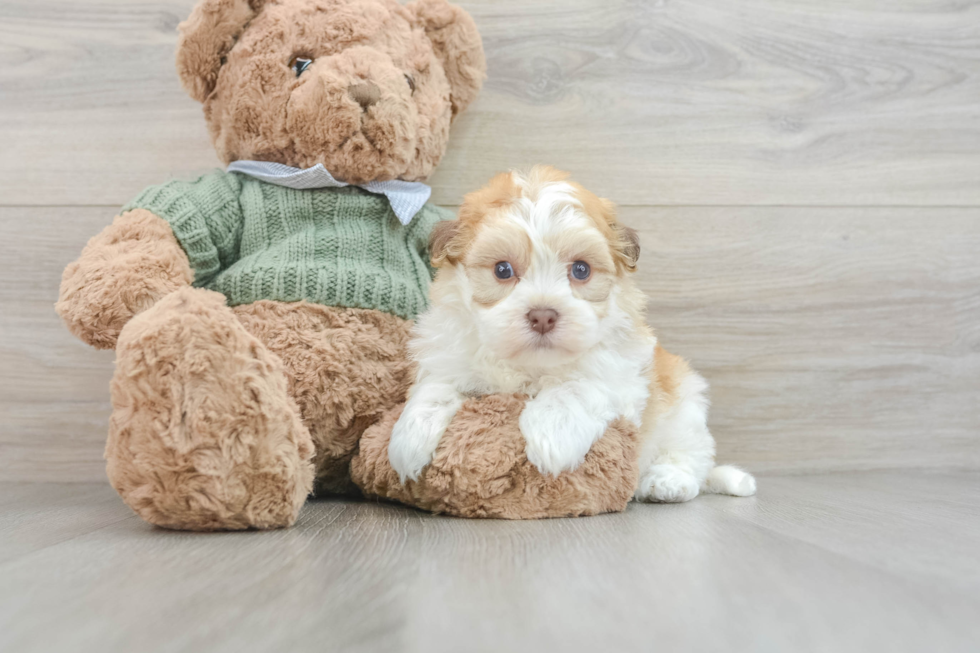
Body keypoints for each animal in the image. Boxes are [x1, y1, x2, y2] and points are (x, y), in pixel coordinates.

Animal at [386, 166, 756, 502]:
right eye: (502, 270)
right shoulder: (450, 351)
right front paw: (408, 438)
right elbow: (436, 386)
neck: (532, 365)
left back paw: (667, 481)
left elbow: (577, 386)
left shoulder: (620, 369)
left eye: (581, 270)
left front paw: (551, 434)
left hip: (685, 406)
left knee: (691, 452)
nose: (543, 316)